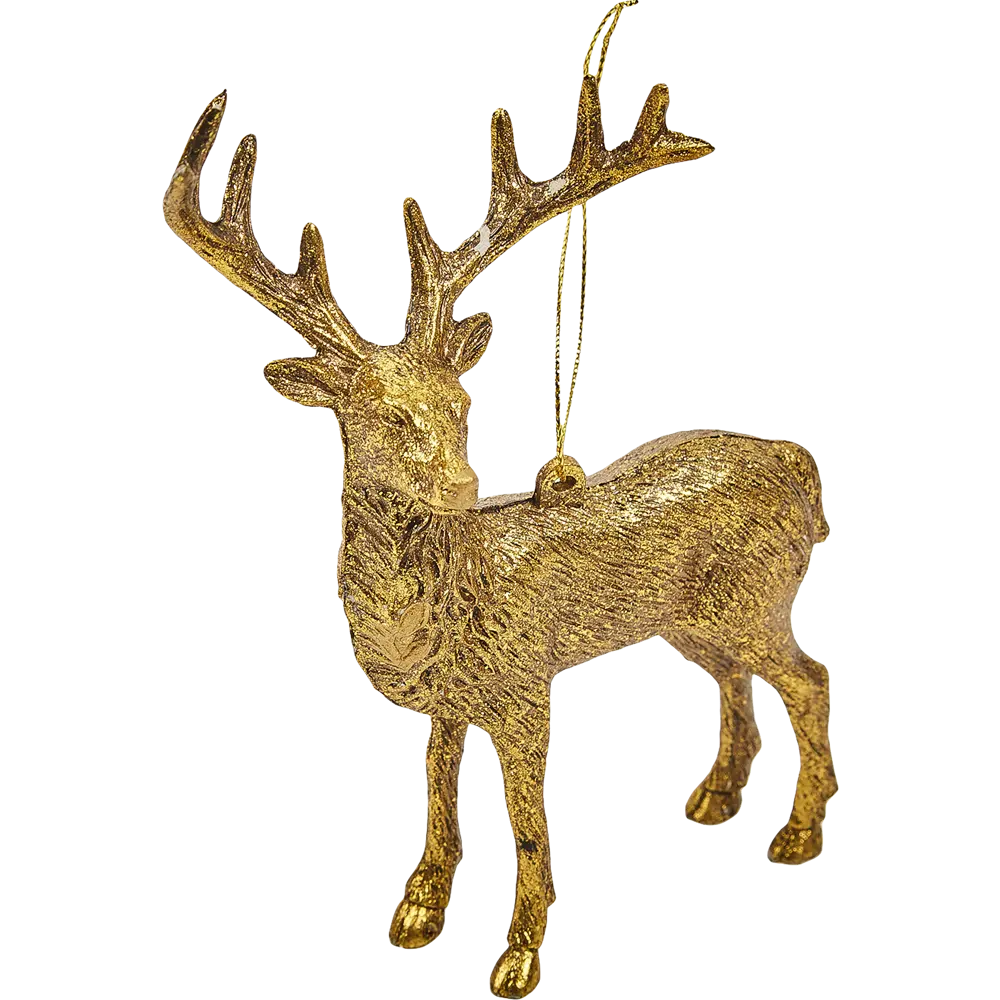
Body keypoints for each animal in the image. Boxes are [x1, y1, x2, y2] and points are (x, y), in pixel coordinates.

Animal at [162, 5, 837, 996]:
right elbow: (438, 792)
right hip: (696, 618)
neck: (440, 606)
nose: (465, 483)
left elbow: (526, 821)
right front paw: (417, 910)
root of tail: (798, 463)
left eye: (464, 404)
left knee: (809, 676)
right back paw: (716, 797)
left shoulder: (524, 685)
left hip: (759, 595)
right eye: (379, 415)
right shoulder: (446, 703)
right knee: (733, 678)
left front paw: (518, 955)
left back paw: (797, 833)